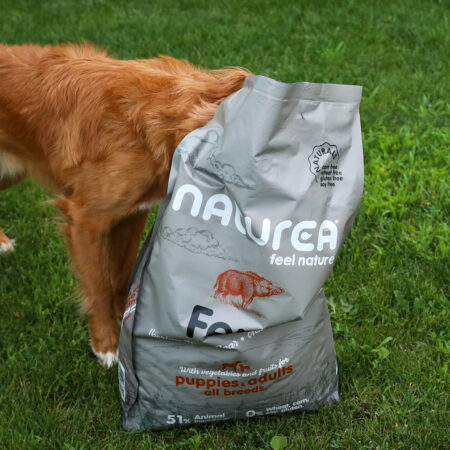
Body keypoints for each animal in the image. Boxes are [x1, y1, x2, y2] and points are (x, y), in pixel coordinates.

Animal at [0, 42, 250, 366]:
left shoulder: (133, 214)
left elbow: (120, 276)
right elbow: (99, 287)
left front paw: (125, 323)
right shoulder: (84, 219)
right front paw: (106, 344)